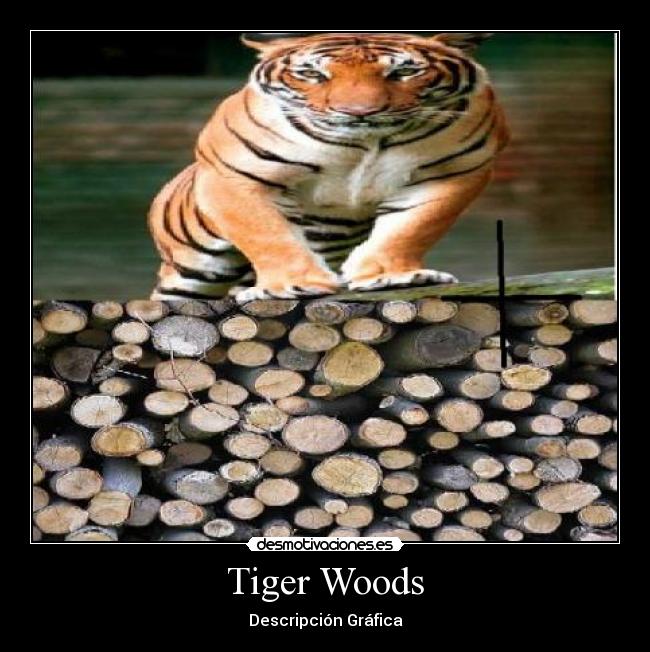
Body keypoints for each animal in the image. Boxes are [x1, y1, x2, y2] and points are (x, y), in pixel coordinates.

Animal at [148, 31, 509, 303]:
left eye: (404, 72)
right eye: (312, 74)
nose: (359, 113)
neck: (366, 142)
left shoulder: (456, 171)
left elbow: (412, 228)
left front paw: (392, 277)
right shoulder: (234, 174)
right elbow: (267, 233)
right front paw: (292, 284)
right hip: (190, 267)